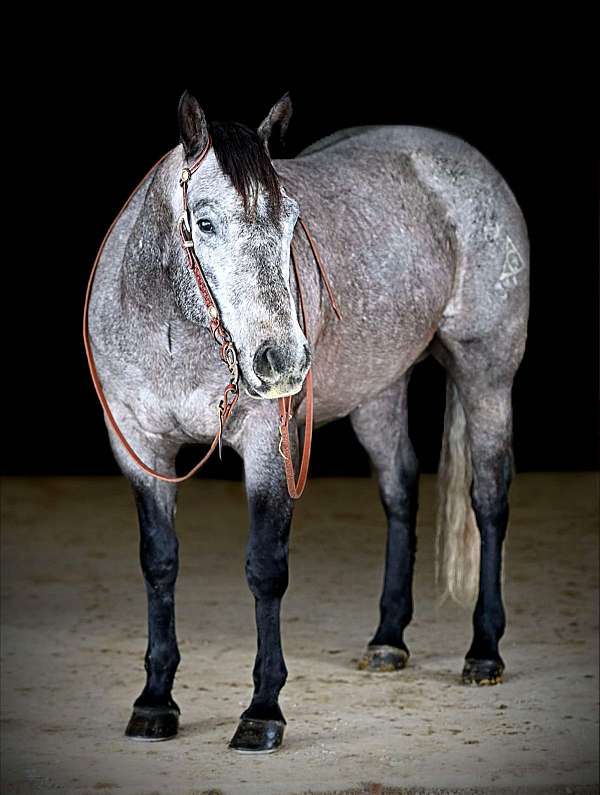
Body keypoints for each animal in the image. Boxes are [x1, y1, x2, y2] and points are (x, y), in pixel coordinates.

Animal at [85, 91, 528, 752]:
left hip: (486, 375)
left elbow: (266, 568)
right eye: (205, 223)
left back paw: (484, 651)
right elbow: (160, 562)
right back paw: (388, 640)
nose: (284, 362)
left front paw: (262, 712)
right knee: (400, 489)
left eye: (292, 223)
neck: (172, 329)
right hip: (378, 393)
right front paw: (155, 701)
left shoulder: (269, 446)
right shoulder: (140, 446)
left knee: (490, 500)